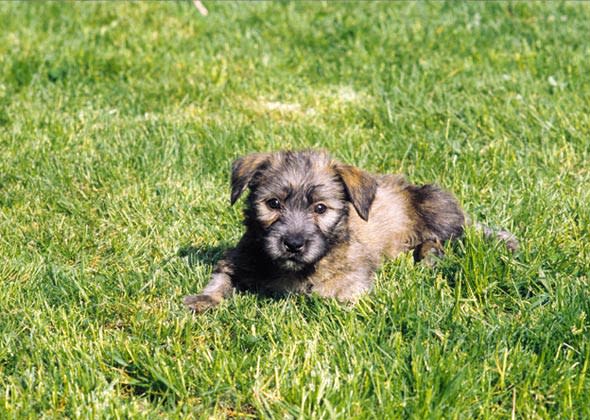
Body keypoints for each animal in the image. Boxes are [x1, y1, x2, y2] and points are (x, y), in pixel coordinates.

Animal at [185, 148, 520, 312]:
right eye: (273, 203)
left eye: (320, 208)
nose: (293, 244)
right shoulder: (235, 261)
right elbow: (220, 281)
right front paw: (203, 300)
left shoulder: (352, 279)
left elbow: (326, 295)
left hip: (435, 204)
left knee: (463, 231)